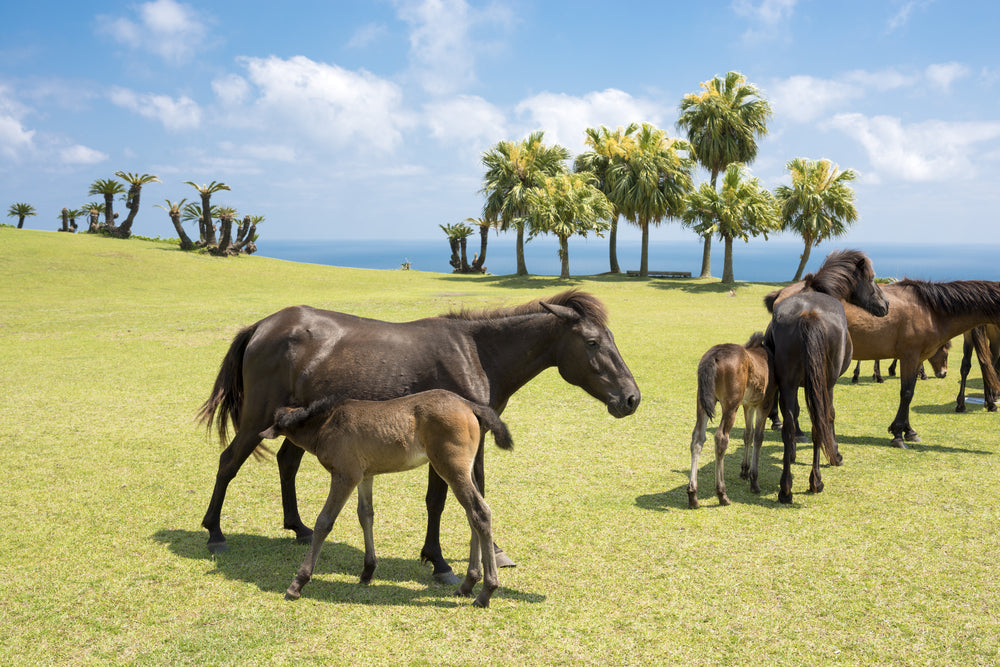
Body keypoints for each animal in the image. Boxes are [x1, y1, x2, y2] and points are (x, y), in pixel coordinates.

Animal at [197, 290, 640, 584]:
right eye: (592, 342)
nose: (631, 398)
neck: (476, 353)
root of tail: (263, 325)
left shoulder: (469, 441)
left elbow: (469, 495)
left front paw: (486, 554)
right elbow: (440, 501)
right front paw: (441, 562)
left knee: (286, 462)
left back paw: (299, 527)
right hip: (257, 420)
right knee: (227, 463)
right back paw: (215, 533)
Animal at [260, 389, 512, 608]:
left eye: (276, 420)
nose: (262, 433)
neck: (327, 422)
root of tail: (469, 405)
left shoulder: (345, 475)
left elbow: (324, 522)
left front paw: (297, 583)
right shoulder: (364, 476)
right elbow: (366, 515)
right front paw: (368, 571)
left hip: (451, 467)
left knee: (480, 512)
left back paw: (486, 591)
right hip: (464, 471)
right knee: (473, 515)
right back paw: (468, 584)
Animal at [686, 332, 776, 509]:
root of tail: (713, 356)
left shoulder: (748, 404)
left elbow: (748, 434)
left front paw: (744, 470)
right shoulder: (765, 403)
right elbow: (758, 437)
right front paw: (754, 481)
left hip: (702, 401)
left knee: (697, 438)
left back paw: (693, 495)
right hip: (731, 405)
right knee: (721, 438)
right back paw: (722, 494)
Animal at [763, 249, 889, 504]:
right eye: (872, 278)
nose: (886, 304)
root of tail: (808, 313)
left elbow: (795, 418)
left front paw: (793, 454)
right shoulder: (828, 385)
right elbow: (830, 416)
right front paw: (835, 454)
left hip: (789, 384)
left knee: (790, 427)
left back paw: (786, 488)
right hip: (825, 383)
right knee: (819, 422)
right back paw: (816, 481)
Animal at [768, 278, 1000, 447]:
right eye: (946, 353)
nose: (943, 373)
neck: (929, 310)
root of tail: (783, 296)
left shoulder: (916, 359)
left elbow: (909, 393)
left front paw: (909, 431)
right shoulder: (909, 356)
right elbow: (906, 394)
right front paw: (897, 433)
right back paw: (794, 430)